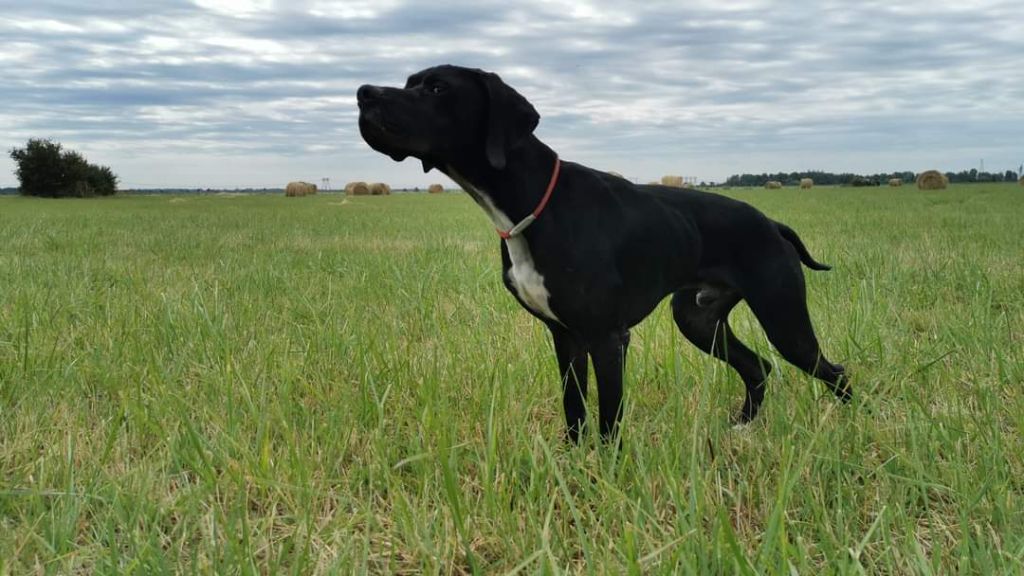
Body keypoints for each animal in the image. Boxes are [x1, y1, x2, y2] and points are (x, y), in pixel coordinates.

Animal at [358, 65, 847, 438]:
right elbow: (574, 410)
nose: (363, 94)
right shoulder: (566, 337)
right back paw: (743, 429)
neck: (535, 200)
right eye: (408, 82)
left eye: (437, 88)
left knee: (834, 372)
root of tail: (772, 224)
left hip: (783, 318)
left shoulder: (608, 339)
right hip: (699, 319)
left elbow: (610, 421)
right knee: (758, 367)